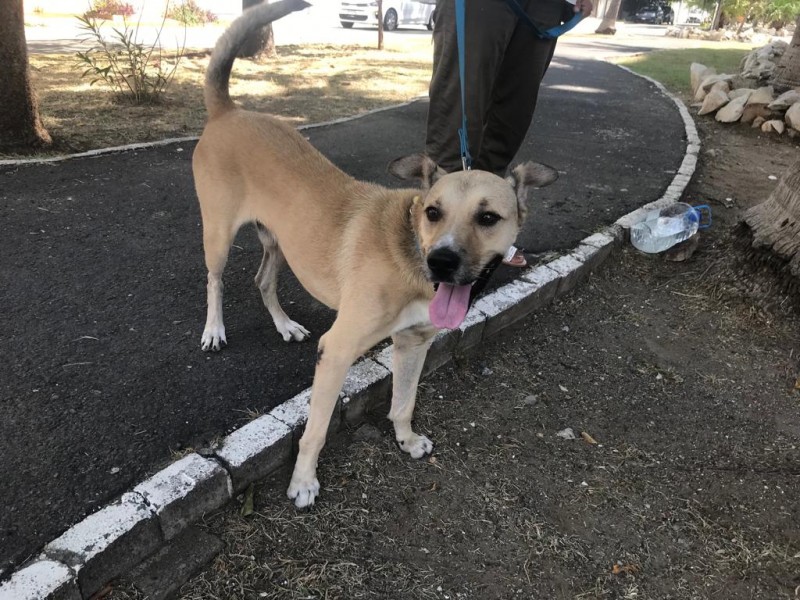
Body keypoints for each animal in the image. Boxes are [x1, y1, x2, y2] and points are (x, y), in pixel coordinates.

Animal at [193, 0, 556, 506]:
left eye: (488, 218)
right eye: (432, 211)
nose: (442, 262)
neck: (411, 256)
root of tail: (228, 111)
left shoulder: (414, 342)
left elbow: (404, 400)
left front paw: (405, 439)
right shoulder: (338, 350)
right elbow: (316, 429)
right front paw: (303, 481)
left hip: (281, 242)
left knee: (262, 280)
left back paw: (285, 325)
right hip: (219, 234)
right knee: (215, 280)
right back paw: (213, 330)